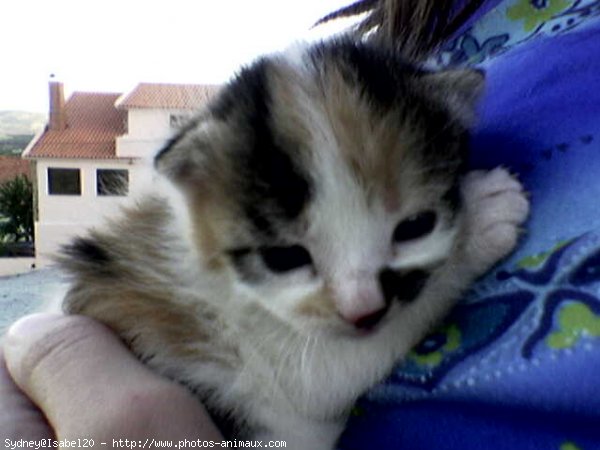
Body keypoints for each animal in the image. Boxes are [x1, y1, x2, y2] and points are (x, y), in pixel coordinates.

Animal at [58, 1, 528, 448]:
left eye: (415, 226)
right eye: (284, 257)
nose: (364, 311)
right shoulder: (267, 366)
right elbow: (332, 371)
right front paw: (482, 218)